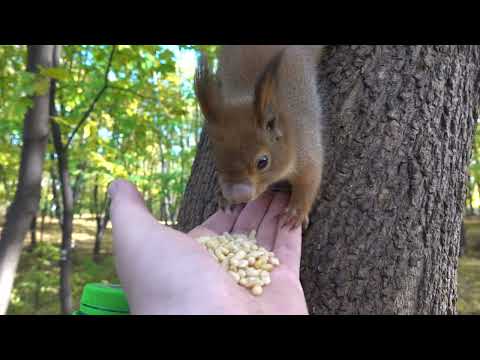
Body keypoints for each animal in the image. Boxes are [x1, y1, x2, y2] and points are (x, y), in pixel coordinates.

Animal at [193, 45, 324, 231]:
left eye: (263, 162)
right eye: (216, 159)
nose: (236, 196)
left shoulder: (306, 144)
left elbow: (310, 178)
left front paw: (295, 212)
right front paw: (223, 197)